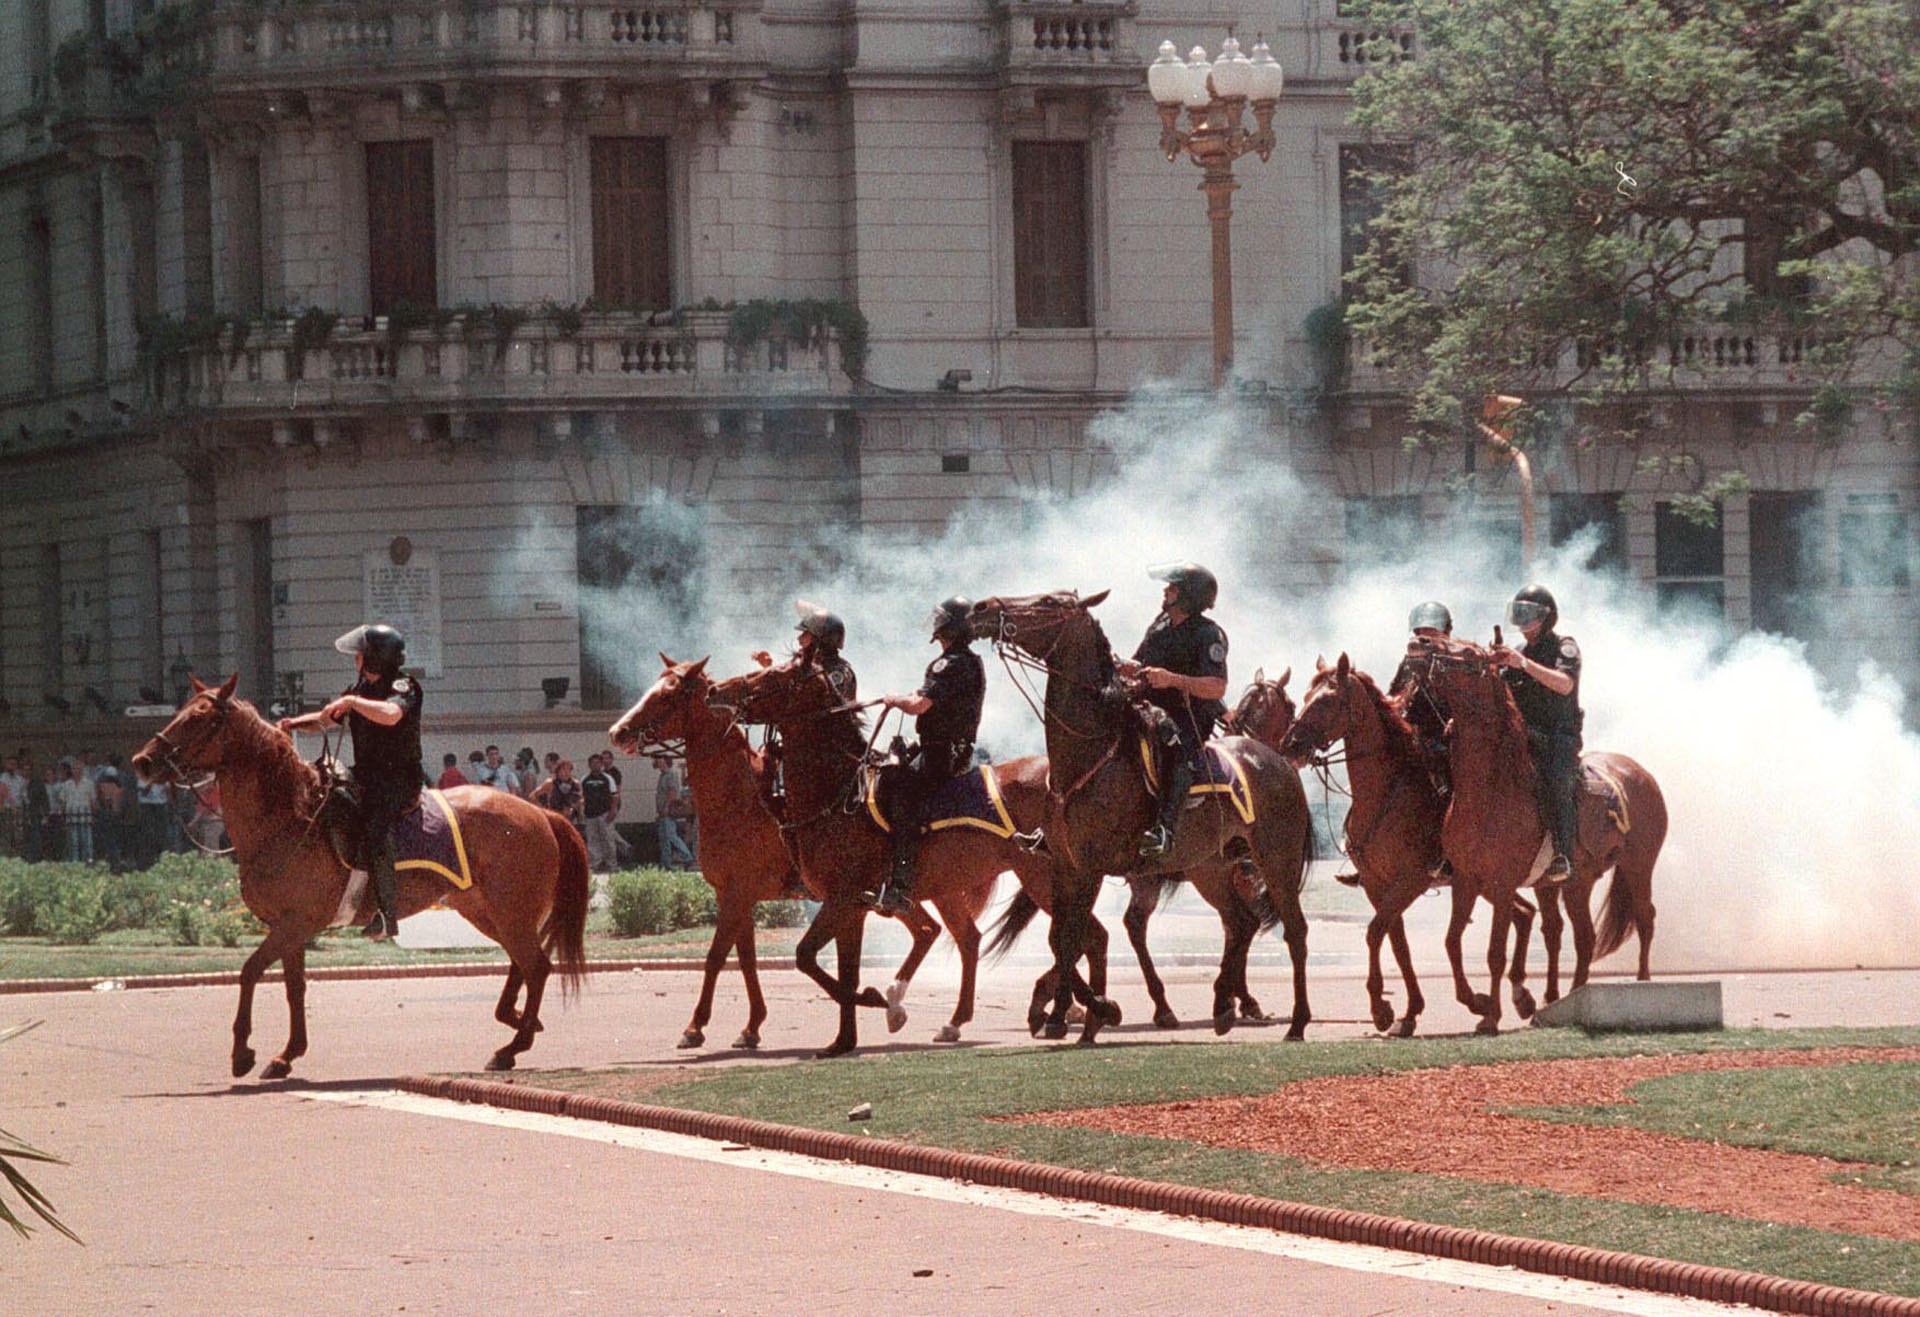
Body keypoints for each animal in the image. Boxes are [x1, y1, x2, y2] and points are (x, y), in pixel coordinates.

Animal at [131, 675, 587, 1075]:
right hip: (486, 910)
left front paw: (242, 1053)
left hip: (510, 911)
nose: (143, 761)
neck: (290, 817)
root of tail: (539, 812)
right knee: (522, 963)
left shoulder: (297, 923)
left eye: (199, 718)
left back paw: (514, 1045)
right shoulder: (289, 928)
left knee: (537, 966)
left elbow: (249, 972)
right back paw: (515, 1021)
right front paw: (287, 1054)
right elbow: (293, 987)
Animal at [610, 660, 1067, 1052]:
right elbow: (745, 960)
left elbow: (719, 958)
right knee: (954, 936)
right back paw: (942, 1015)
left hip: (1019, 881)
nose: (618, 731)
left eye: (667, 694)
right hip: (937, 889)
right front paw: (751, 1026)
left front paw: (696, 1027)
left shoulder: (745, 894)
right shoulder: (739, 895)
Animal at [967, 591, 1313, 1044]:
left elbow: (1074, 937)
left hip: (1275, 860)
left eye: (1047, 602)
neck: (1090, 755)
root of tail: (1276, 763)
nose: (981, 609)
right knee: (1238, 922)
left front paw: (1095, 1009)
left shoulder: (1093, 867)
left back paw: (1295, 1020)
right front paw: (1082, 1011)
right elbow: (1063, 938)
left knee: (1291, 930)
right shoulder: (1067, 867)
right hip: (1209, 868)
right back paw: (1216, 1006)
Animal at [1274, 656, 1543, 1036]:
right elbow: (1397, 943)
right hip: (1484, 883)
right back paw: (1522, 997)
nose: (1291, 745)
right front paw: (1409, 1011)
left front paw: (1383, 1009)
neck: (1385, 792)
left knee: (1520, 913)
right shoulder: (1377, 885)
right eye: (1305, 697)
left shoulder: (1411, 880)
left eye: (1327, 700)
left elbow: (1376, 933)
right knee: (1524, 912)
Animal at [1397, 641, 1666, 1029]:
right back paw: (1560, 997)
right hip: (1567, 884)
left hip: (1635, 866)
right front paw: (1478, 1001)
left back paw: (1638, 984)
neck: (1492, 787)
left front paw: (1490, 1016)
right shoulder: (1465, 880)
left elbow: (1496, 952)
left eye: (1467, 653)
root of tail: (1639, 772)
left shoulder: (1502, 884)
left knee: (1638, 920)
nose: (1420, 645)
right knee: (1569, 934)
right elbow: (1452, 941)